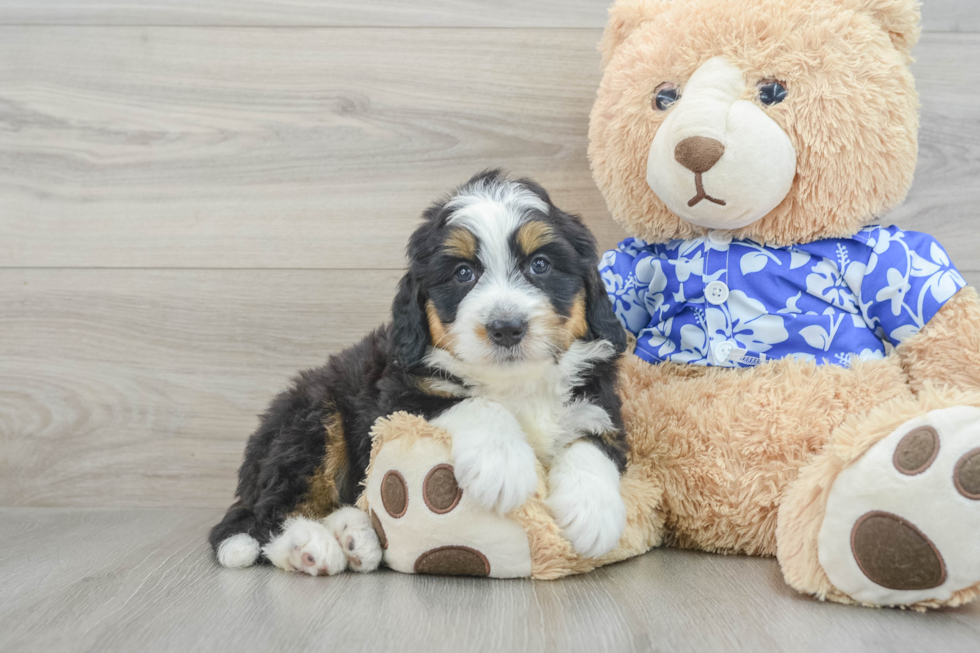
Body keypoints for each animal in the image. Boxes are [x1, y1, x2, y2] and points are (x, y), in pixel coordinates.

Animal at [211, 169, 632, 576]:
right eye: (463, 273)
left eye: (540, 264)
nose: (506, 327)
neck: (515, 383)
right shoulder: (397, 397)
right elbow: (474, 404)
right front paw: (502, 465)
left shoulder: (599, 401)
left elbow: (592, 442)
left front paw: (592, 512)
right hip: (313, 422)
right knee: (268, 515)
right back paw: (310, 547)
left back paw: (355, 537)